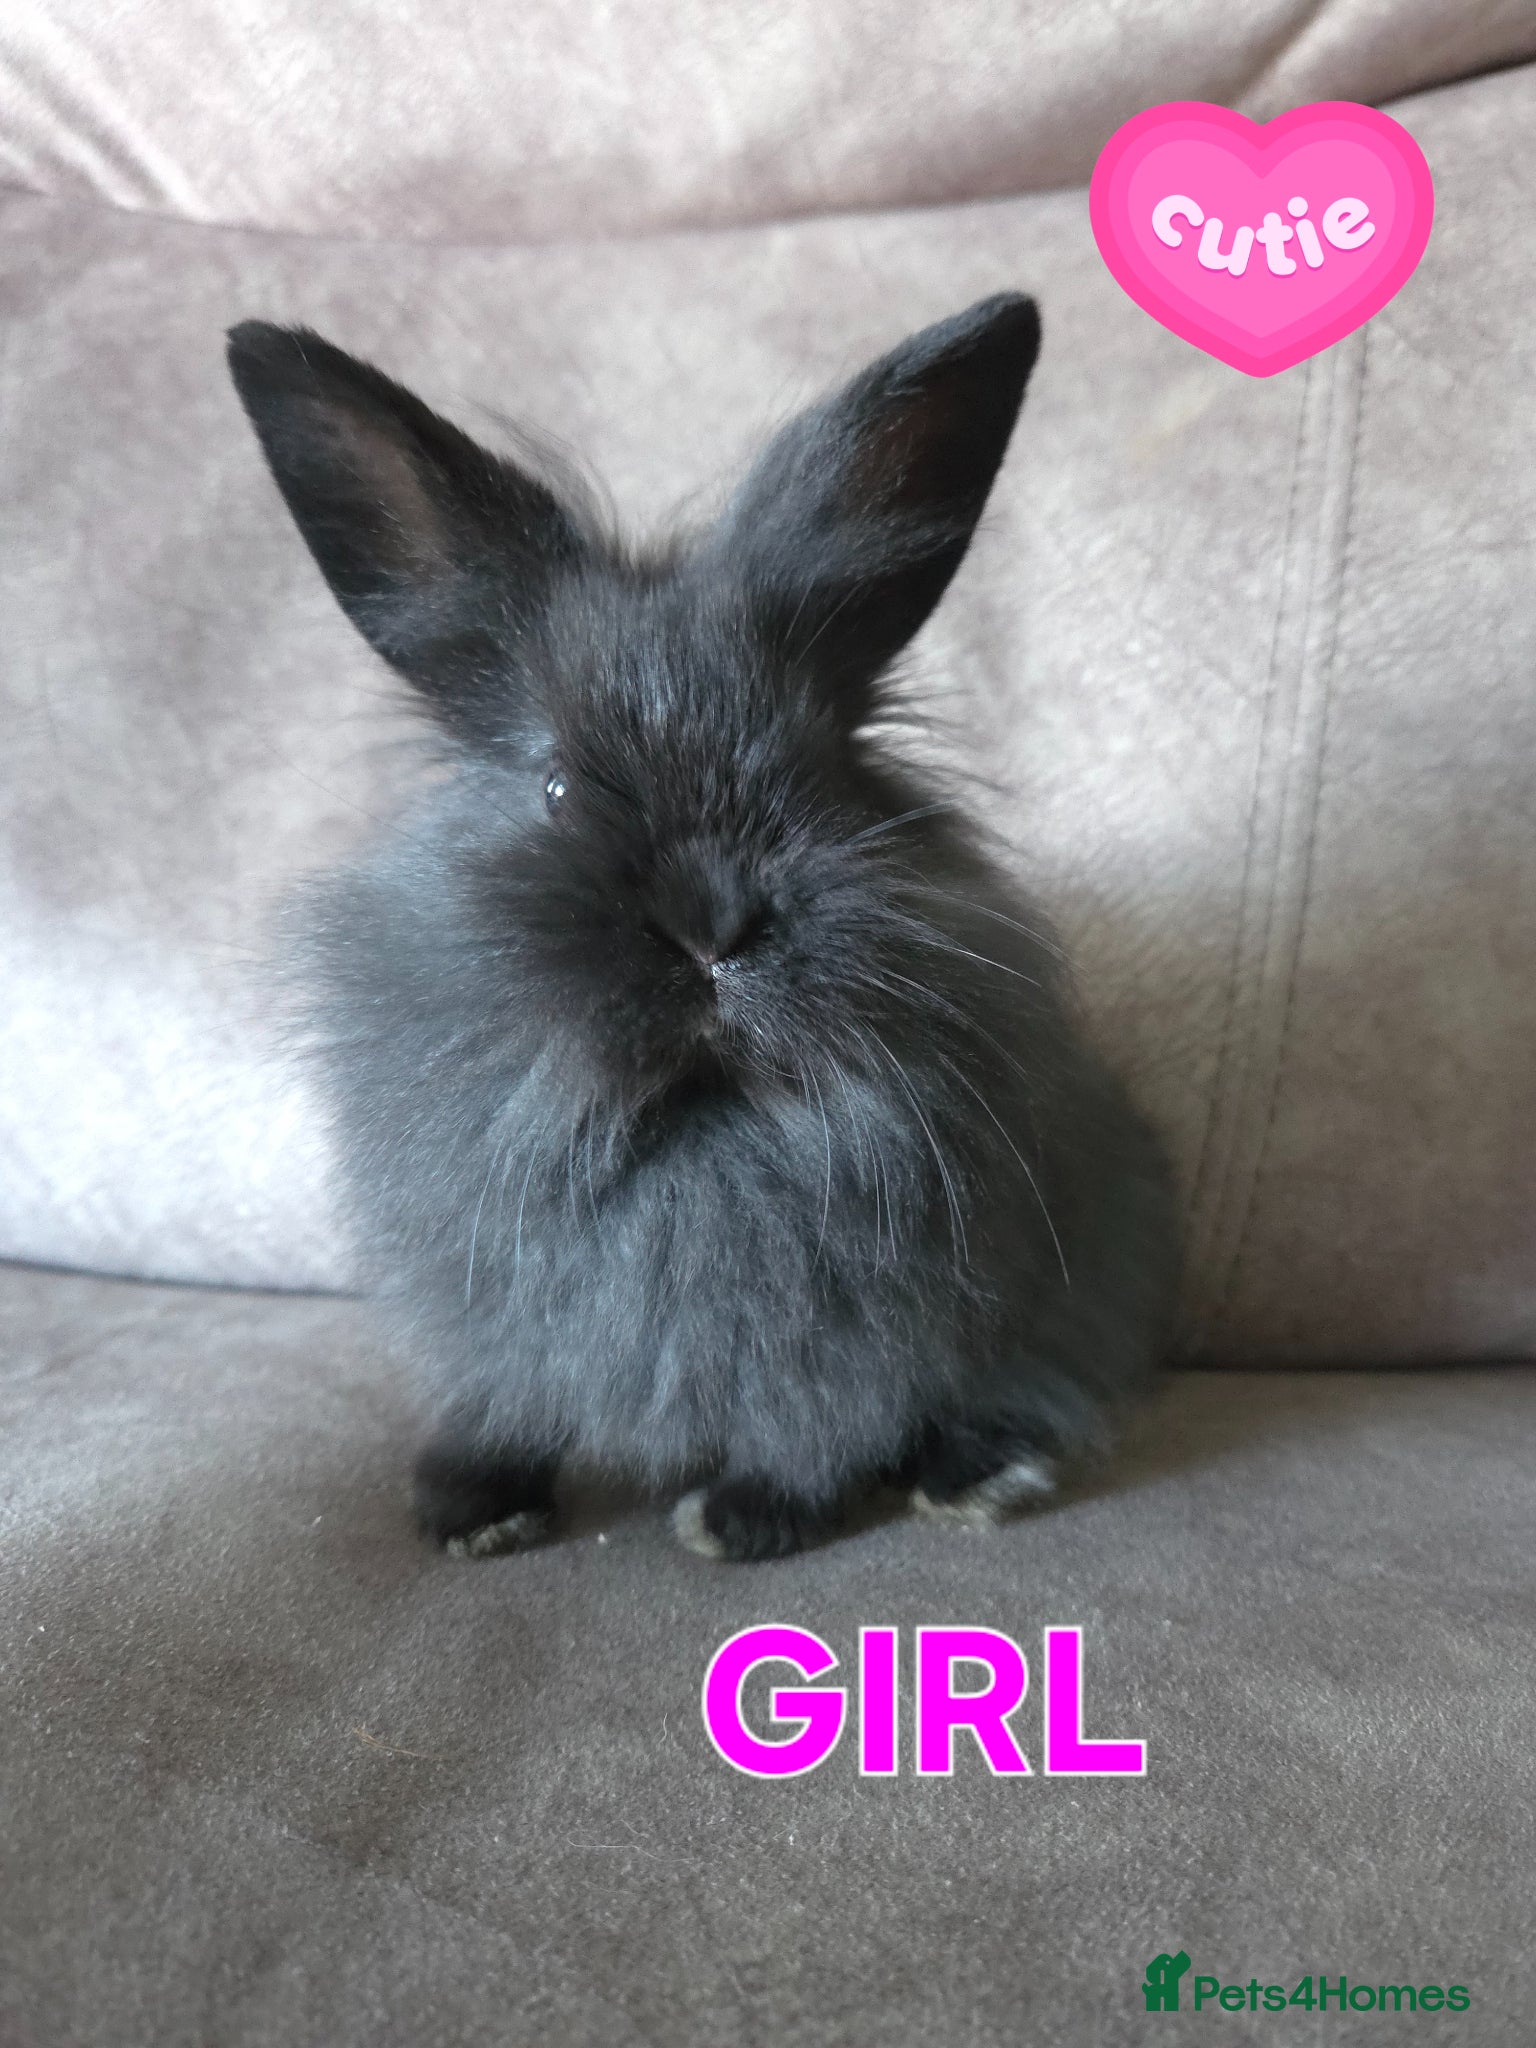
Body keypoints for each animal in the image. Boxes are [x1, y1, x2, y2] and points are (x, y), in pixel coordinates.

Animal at [227, 293, 1179, 1564]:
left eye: (823, 768)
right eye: (558, 788)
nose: (710, 924)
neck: (695, 1120)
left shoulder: (854, 1327)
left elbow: (816, 1420)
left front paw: (745, 1518)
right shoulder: (493, 1307)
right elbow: (503, 1394)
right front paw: (470, 1506)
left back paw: (974, 1477)